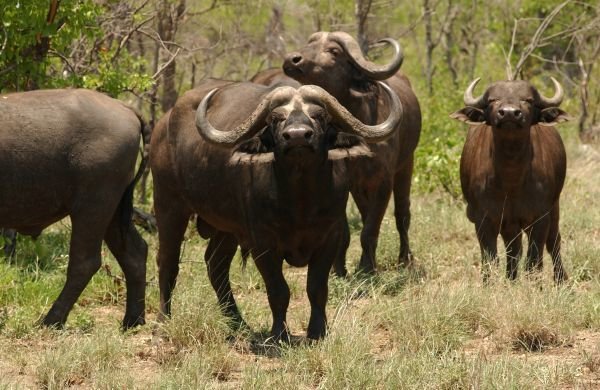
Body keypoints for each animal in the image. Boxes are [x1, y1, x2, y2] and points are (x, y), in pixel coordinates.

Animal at [282, 31, 422, 274]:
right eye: (310, 44)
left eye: (334, 51)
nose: (292, 59)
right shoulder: (344, 182)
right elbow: (346, 231)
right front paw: (339, 269)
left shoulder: (383, 182)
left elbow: (370, 229)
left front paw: (367, 268)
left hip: (406, 165)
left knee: (402, 214)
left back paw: (405, 258)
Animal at [452, 77, 568, 284]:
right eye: (493, 100)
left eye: (528, 100)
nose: (509, 114)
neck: (510, 179)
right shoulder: (484, 219)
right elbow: (490, 258)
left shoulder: (540, 217)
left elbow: (534, 260)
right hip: (510, 225)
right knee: (513, 252)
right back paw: (511, 278)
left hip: (553, 209)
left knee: (553, 242)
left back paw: (561, 279)